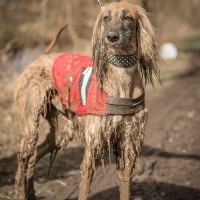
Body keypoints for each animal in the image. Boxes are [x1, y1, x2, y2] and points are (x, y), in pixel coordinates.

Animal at [14, 1, 161, 200]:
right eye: (106, 17)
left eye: (127, 17)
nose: (111, 37)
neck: (122, 77)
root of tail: (42, 56)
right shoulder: (94, 142)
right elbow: (84, 188)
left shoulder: (128, 142)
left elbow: (125, 186)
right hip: (29, 127)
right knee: (22, 166)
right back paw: (21, 192)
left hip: (61, 131)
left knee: (33, 160)